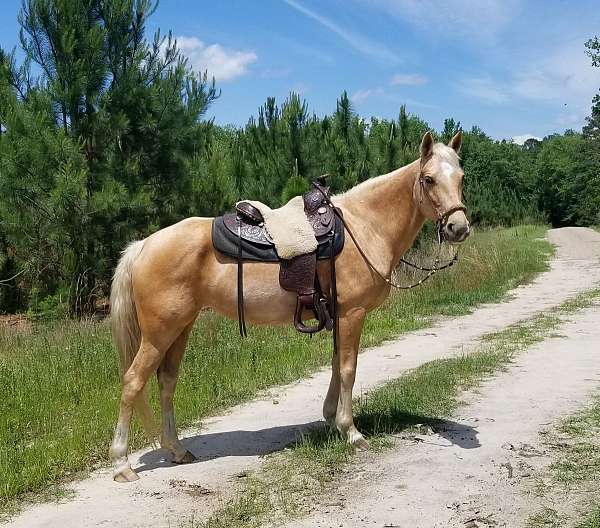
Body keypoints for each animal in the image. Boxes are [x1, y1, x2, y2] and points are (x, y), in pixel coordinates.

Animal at [110, 131, 472, 482]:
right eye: (428, 179)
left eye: (461, 177)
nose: (458, 228)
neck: (365, 226)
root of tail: (143, 245)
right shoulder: (352, 314)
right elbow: (348, 368)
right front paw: (351, 432)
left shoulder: (339, 315)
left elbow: (336, 363)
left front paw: (331, 418)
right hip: (159, 332)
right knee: (133, 382)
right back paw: (121, 464)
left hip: (180, 328)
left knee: (167, 381)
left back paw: (176, 449)